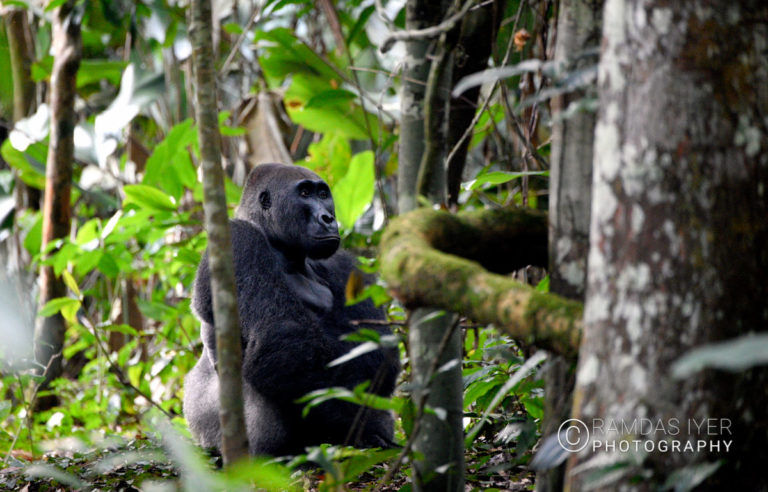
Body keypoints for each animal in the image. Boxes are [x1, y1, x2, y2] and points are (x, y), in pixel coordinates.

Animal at [184, 163, 402, 456]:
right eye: (305, 193)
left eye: (323, 194)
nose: (328, 218)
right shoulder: (239, 239)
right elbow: (282, 340)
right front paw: (354, 423)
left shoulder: (341, 264)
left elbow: (375, 350)